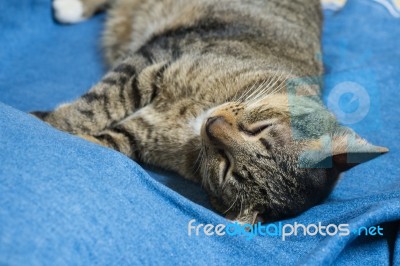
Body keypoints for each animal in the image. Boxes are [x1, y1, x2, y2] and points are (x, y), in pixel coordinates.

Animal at [32, 0, 390, 224]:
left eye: (227, 166)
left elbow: (103, 136)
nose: (213, 124)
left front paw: (49, 127)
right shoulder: (151, 64)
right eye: (260, 129)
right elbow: (95, 105)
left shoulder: (137, 134)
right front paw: (47, 120)